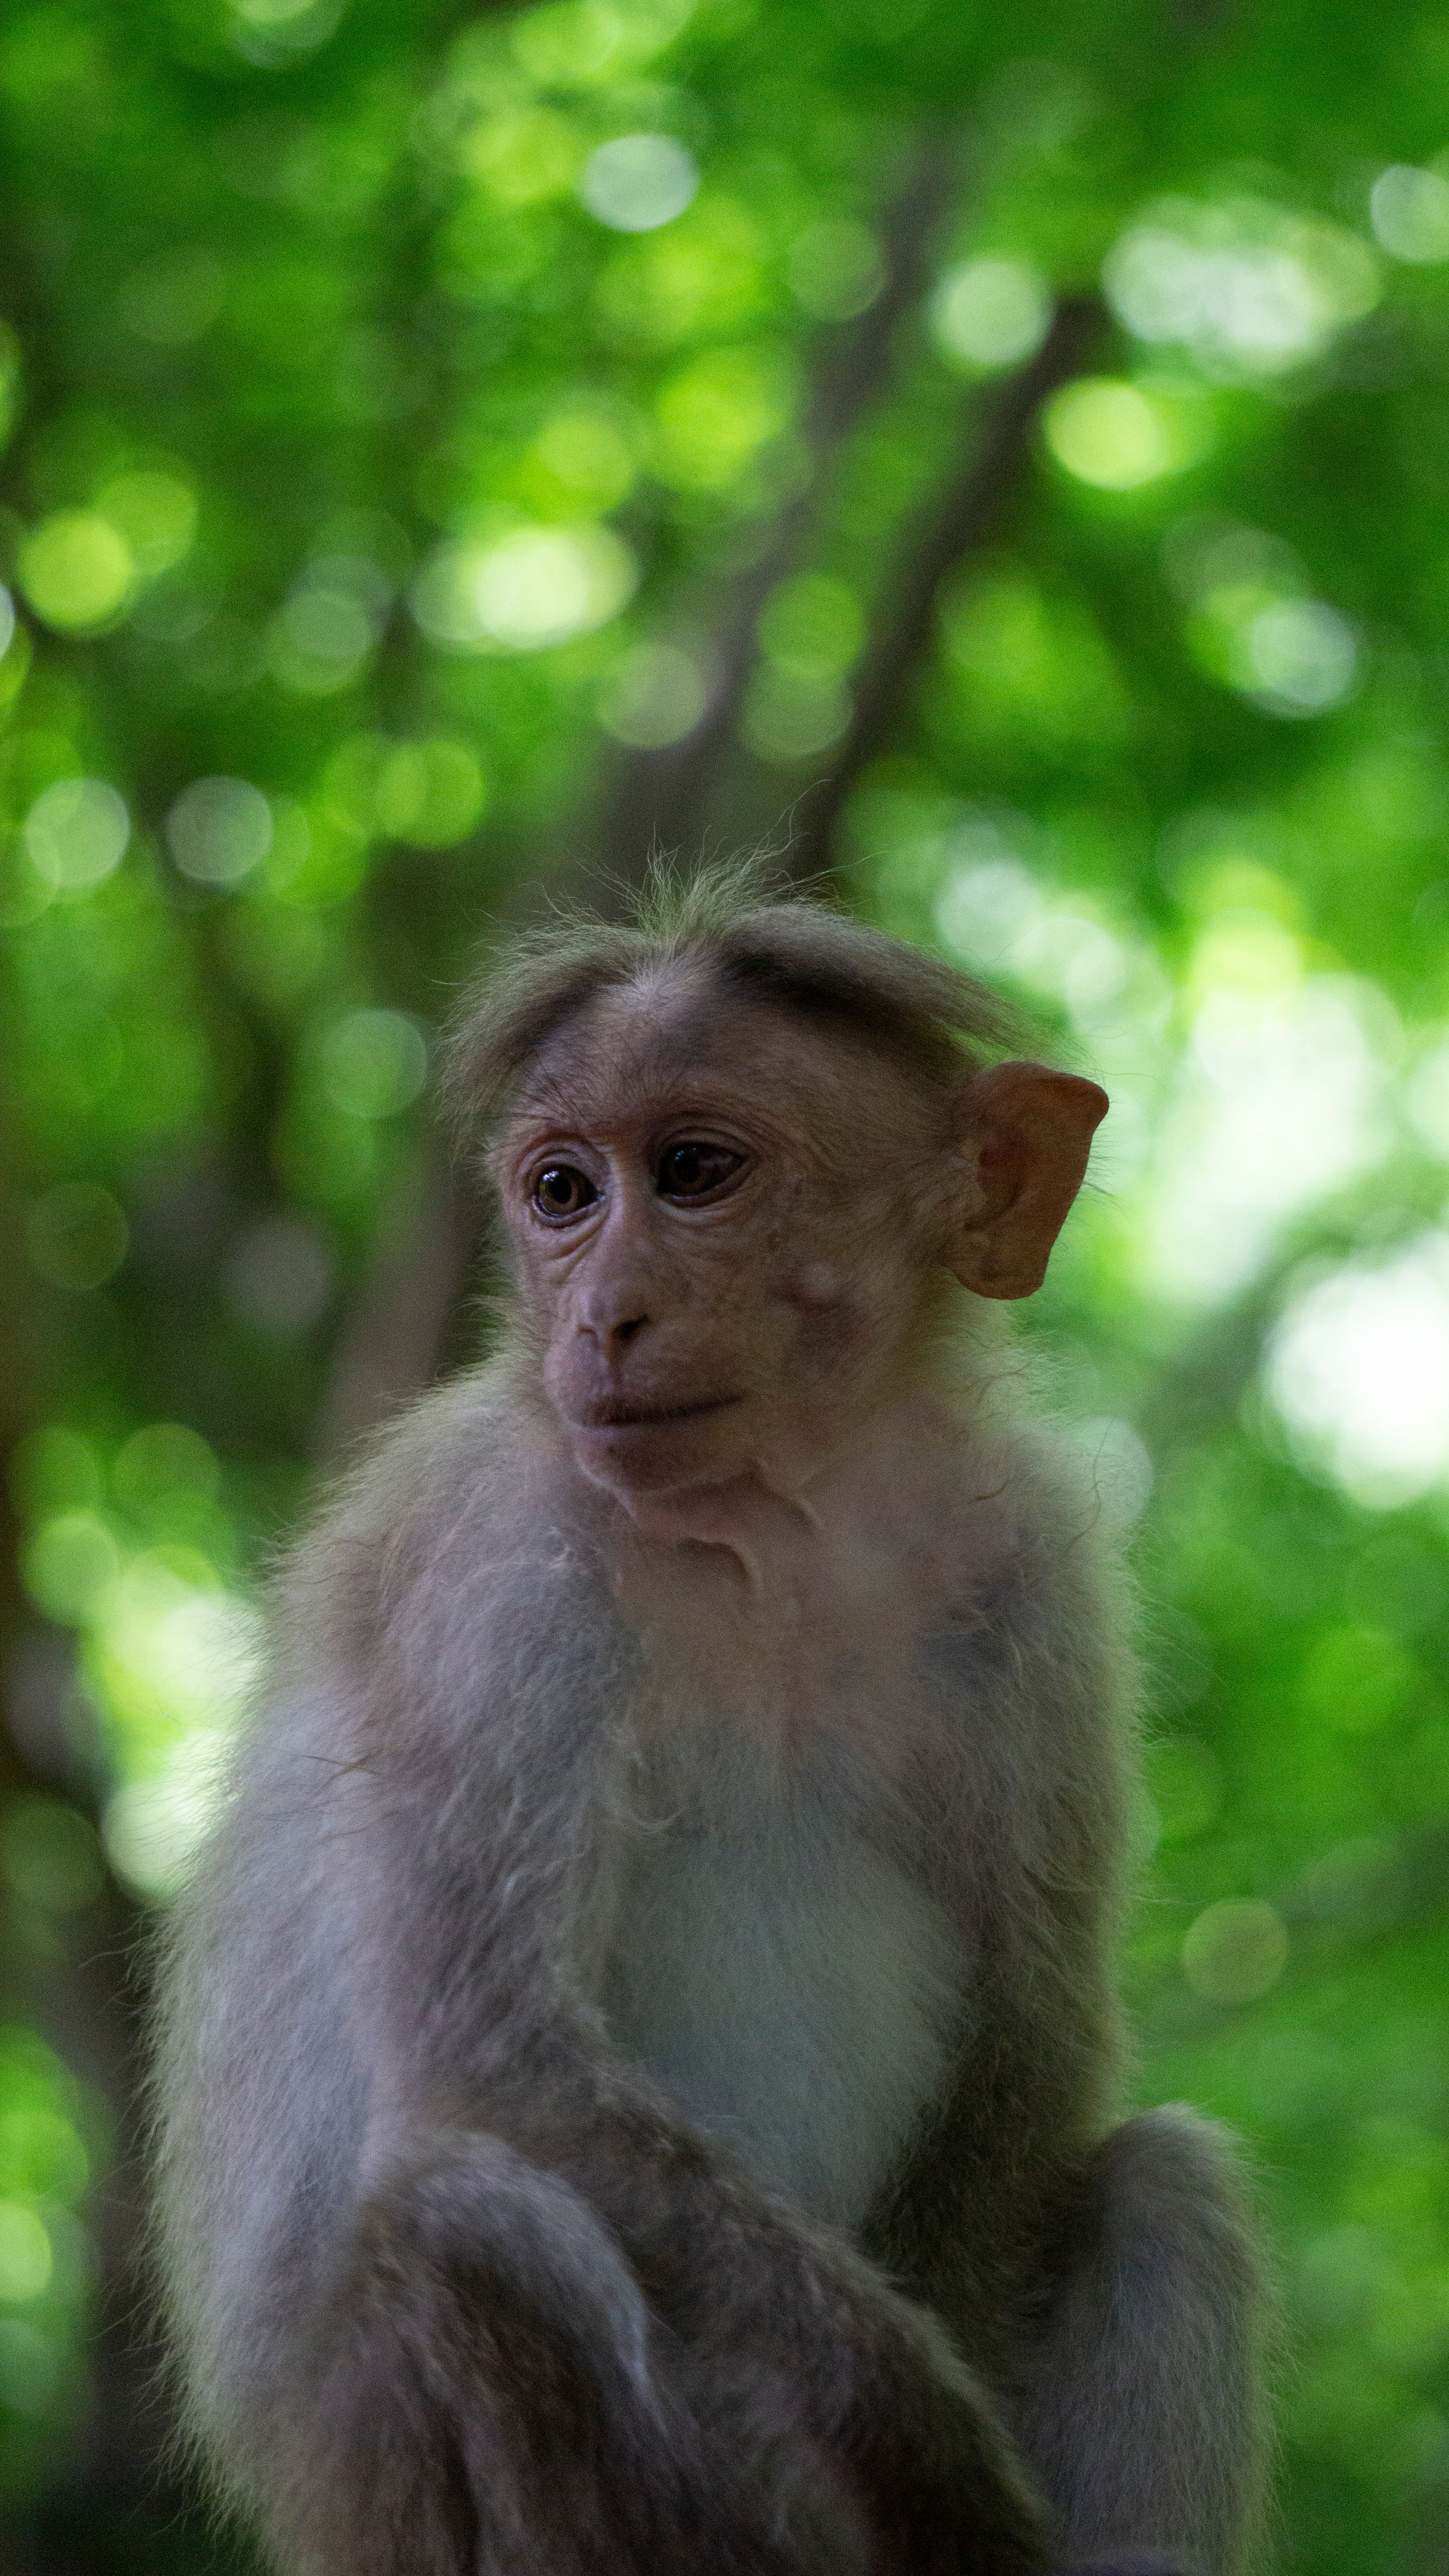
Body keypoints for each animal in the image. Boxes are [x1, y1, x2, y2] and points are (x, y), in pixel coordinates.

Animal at [151, 865, 1269, 2576]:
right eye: (561, 1191)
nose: (602, 1314)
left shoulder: (1030, 1568)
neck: (769, 1535)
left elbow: (1031, 2017)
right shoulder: (509, 1569)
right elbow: (499, 2047)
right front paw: (928, 2449)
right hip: (413, 2506)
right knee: (475, 2225)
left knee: (1164, 2180)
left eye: (692, 1173)